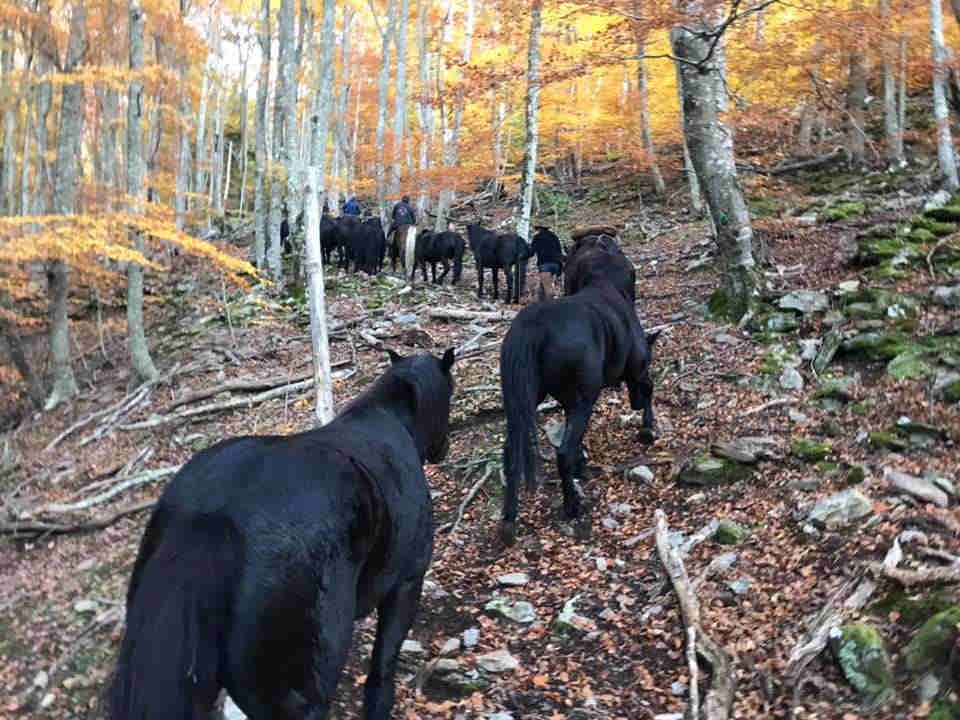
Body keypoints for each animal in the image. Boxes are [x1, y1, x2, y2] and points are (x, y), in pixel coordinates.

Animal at [107, 348, 460, 720]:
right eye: (450, 393)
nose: (444, 448)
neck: (390, 421)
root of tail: (212, 515)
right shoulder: (406, 583)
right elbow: (382, 669)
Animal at [496, 253, 660, 544]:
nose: (634, 403)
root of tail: (531, 327)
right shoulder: (637, 368)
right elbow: (649, 386)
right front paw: (647, 428)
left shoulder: (572, 403)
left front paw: (581, 465)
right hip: (582, 401)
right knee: (562, 453)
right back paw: (572, 505)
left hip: (521, 402)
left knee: (511, 452)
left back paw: (508, 518)